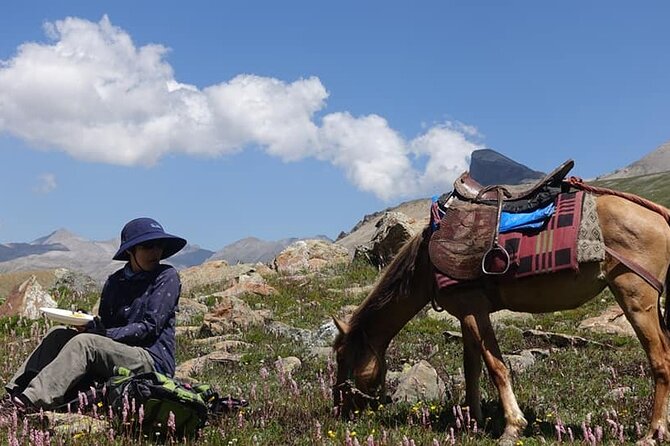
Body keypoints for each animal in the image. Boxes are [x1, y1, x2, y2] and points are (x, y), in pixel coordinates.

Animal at [336, 195, 670, 446]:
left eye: (342, 357)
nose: (340, 408)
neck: (426, 264)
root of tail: (660, 215)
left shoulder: (475, 311)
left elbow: (496, 367)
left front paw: (512, 426)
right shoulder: (466, 314)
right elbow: (471, 368)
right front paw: (474, 420)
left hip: (635, 297)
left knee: (660, 360)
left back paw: (652, 432)